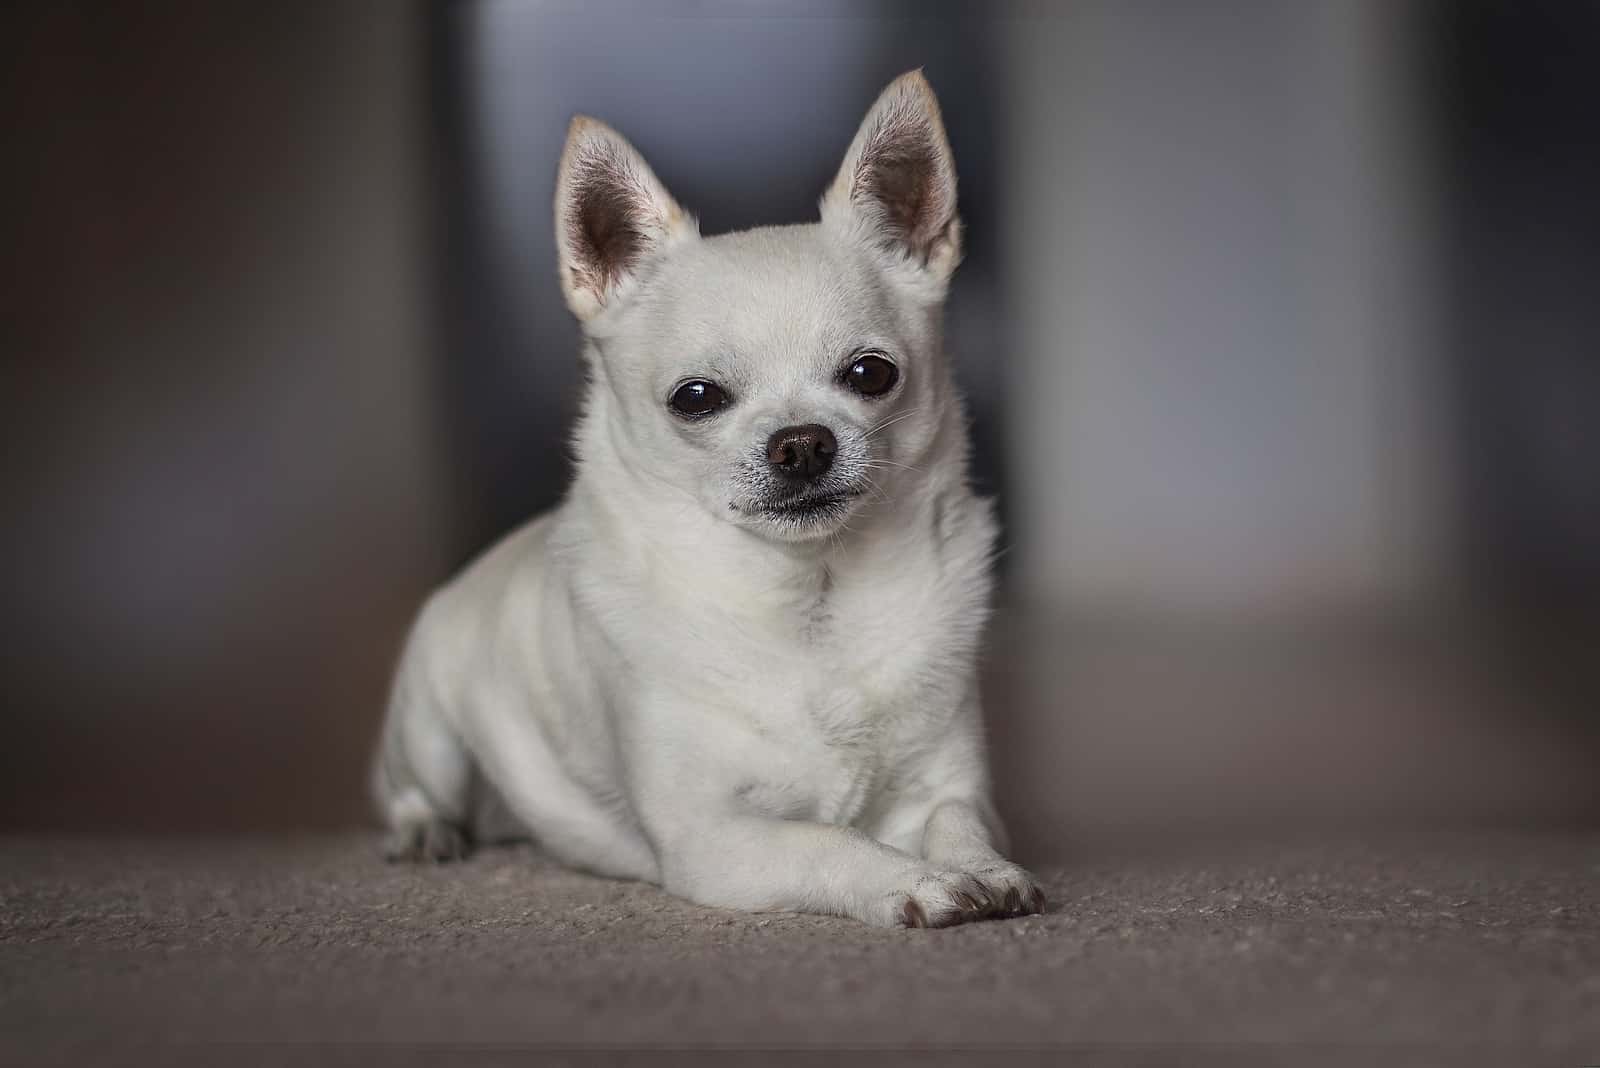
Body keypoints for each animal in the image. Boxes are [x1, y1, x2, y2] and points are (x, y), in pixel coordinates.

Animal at [376, 70, 1049, 927]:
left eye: (872, 374)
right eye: (695, 398)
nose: (802, 443)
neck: (811, 596)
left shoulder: (945, 783)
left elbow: (956, 821)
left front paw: (981, 868)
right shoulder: (716, 838)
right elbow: (828, 842)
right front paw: (912, 881)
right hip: (430, 730)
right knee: (409, 789)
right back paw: (425, 832)